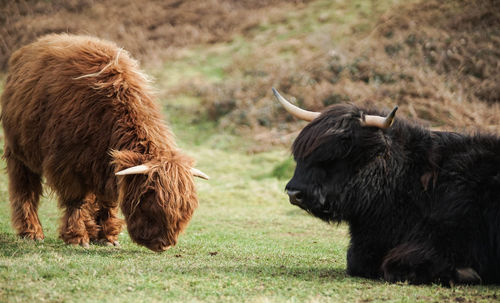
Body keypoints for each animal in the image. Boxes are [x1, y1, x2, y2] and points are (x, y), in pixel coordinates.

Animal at [0, 33, 208, 253]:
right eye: (151, 204)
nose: (163, 244)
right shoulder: (66, 166)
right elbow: (76, 200)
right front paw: (78, 237)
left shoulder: (103, 166)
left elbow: (107, 201)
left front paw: (107, 237)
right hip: (18, 152)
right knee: (25, 189)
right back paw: (31, 232)